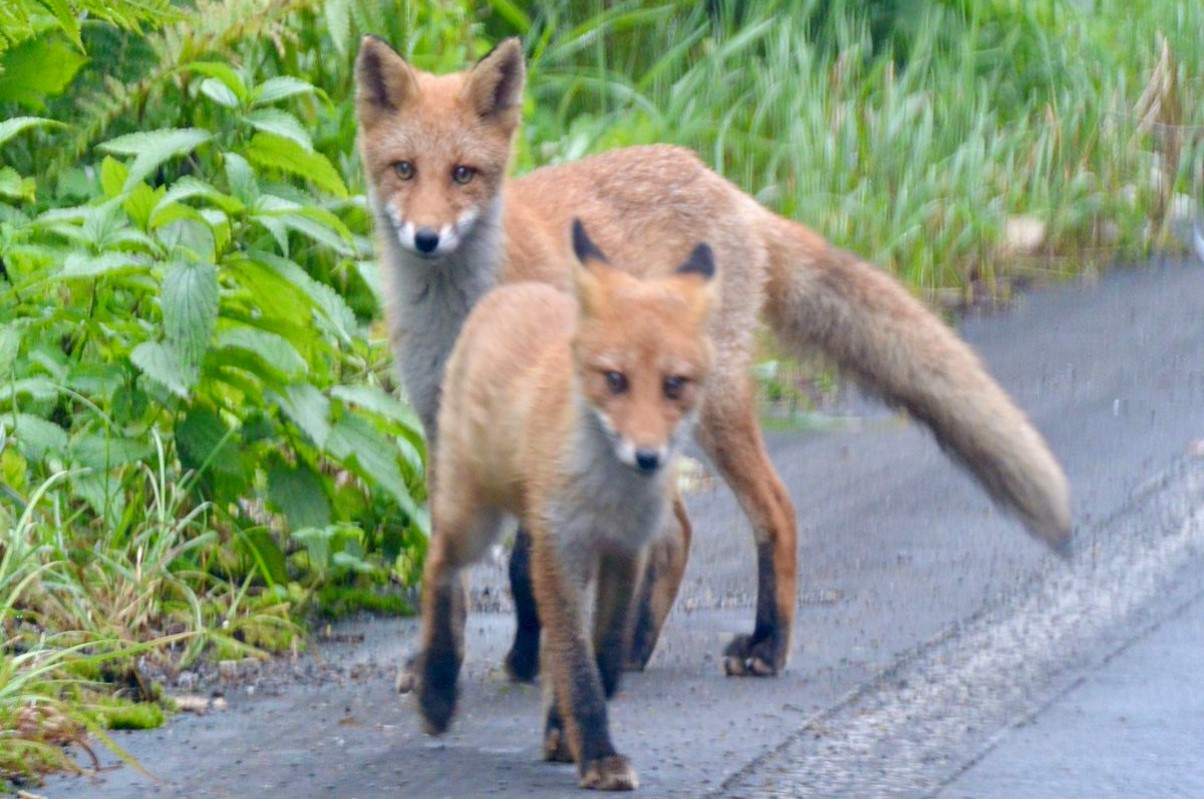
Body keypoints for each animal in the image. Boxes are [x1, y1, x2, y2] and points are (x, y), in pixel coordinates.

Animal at [356, 34, 1073, 678]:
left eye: (463, 174)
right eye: (404, 169)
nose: (426, 238)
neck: (458, 316)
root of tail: (728, 188)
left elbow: (520, 567)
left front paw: (528, 662)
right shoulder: (441, 424)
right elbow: (450, 562)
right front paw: (436, 667)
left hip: (710, 407)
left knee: (774, 512)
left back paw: (766, 646)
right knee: (676, 532)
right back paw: (633, 647)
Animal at [416, 220, 712, 794]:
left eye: (674, 385)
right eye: (615, 379)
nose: (647, 456)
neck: (609, 496)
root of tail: (510, 293)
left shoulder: (625, 553)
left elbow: (605, 652)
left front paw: (563, 735)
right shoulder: (560, 550)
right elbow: (577, 666)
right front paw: (597, 753)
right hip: (475, 518)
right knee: (438, 563)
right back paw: (435, 689)